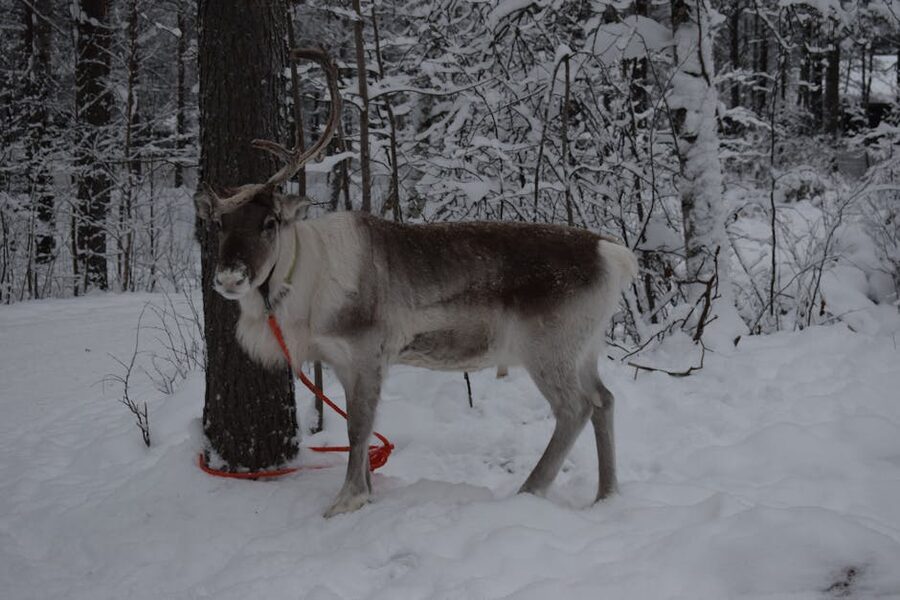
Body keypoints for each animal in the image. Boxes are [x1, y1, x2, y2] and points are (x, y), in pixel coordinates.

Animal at [196, 48, 639, 518]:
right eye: (219, 223)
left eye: (270, 222)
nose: (229, 277)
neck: (304, 283)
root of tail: (613, 253)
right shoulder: (340, 360)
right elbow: (363, 428)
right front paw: (368, 490)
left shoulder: (367, 352)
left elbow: (358, 429)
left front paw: (347, 499)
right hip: (585, 348)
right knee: (605, 399)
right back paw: (606, 494)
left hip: (549, 349)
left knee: (576, 407)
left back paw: (530, 489)